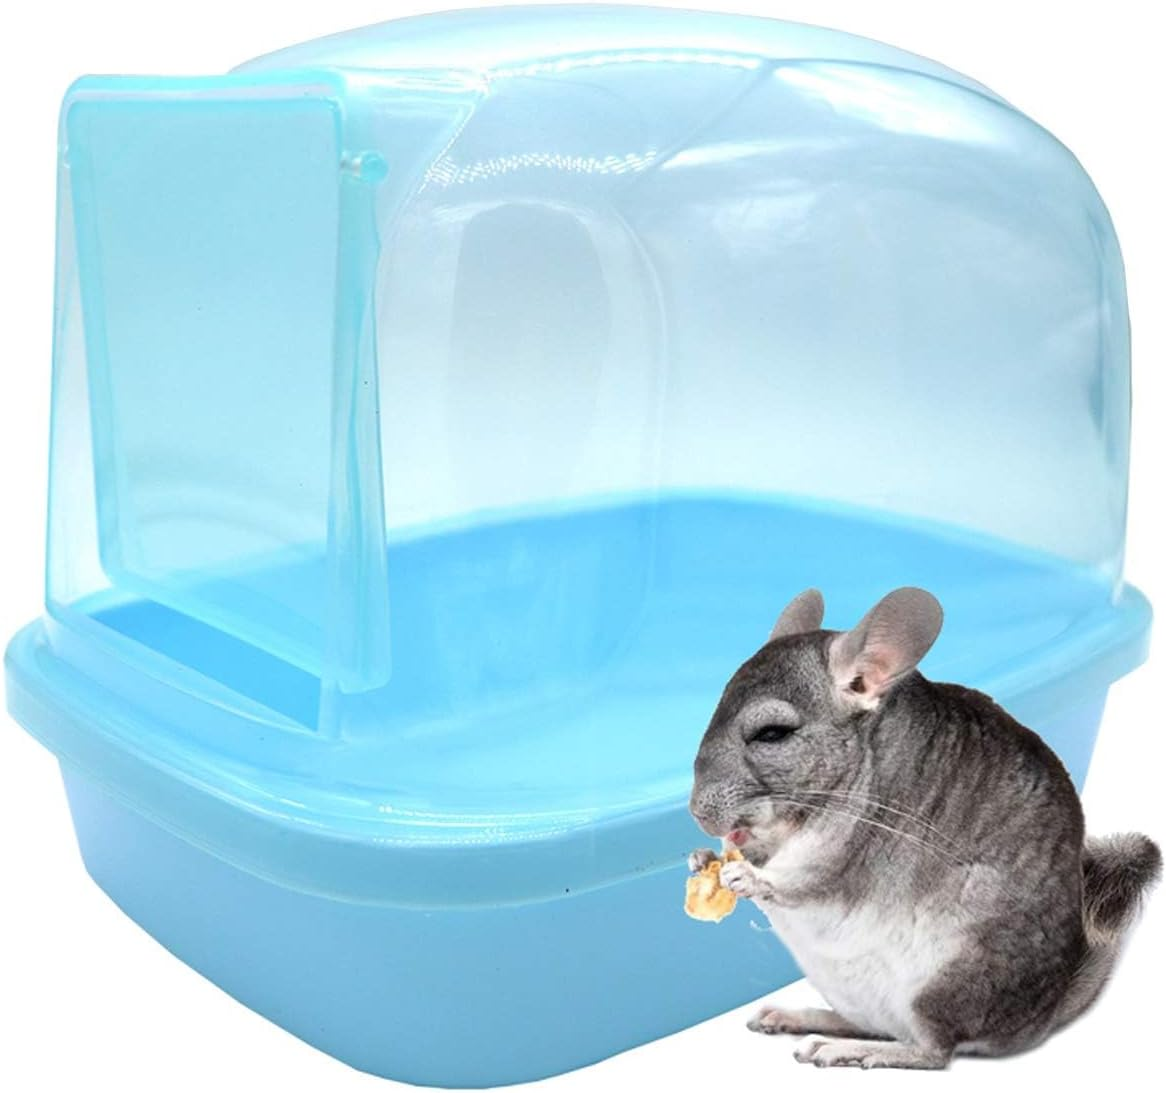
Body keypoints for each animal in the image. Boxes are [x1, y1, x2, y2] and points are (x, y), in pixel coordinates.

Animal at [688, 587, 1161, 1069]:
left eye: (772, 734)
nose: (697, 813)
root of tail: (1040, 1019)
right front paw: (705, 856)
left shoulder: (842, 849)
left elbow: (795, 882)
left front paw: (741, 875)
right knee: (875, 1025)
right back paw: (793, 1018)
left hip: (941, 981)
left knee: (932, 1051)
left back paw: (842, 1050)